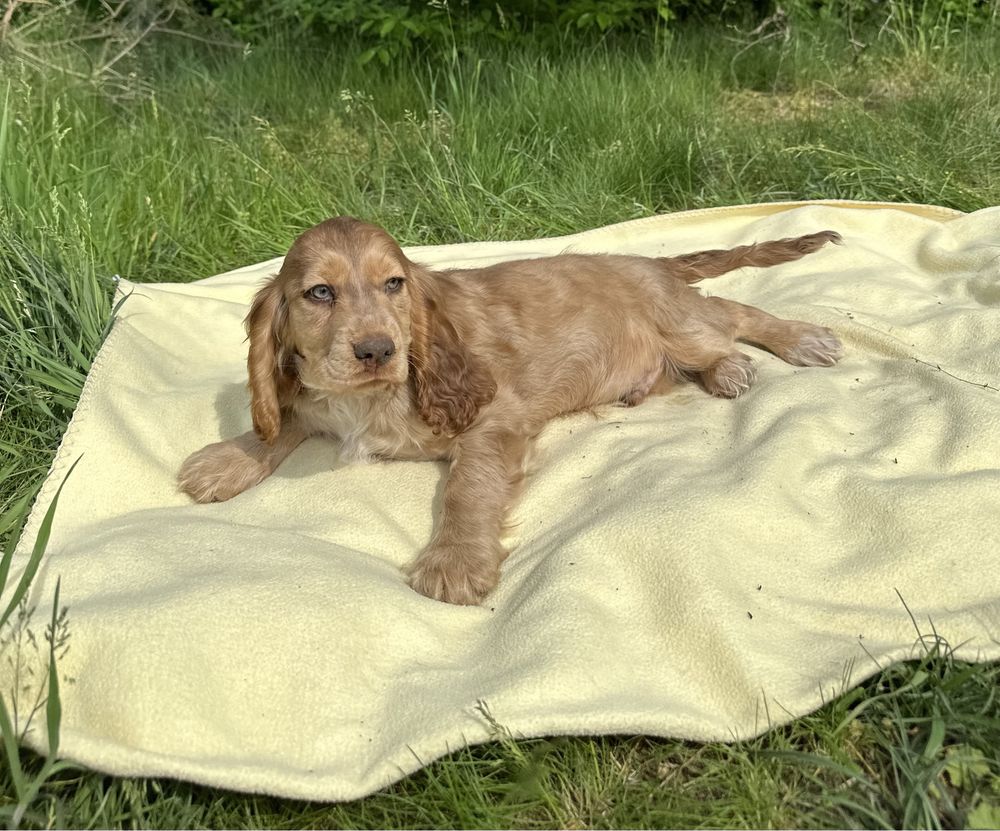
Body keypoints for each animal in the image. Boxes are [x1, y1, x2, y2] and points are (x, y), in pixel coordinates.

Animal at [180, 214, 844, 604]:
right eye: (320, 293)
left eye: (394, 284)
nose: (377, 351)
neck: (364, 399)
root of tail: (649, 262)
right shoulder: (313, 398)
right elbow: (282, 418)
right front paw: (226, 460)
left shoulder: (491, 417)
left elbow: (468, 488)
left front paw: (454, 561)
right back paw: (721, 373)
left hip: (677, 321)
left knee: (733, 314)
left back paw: (798, 340)